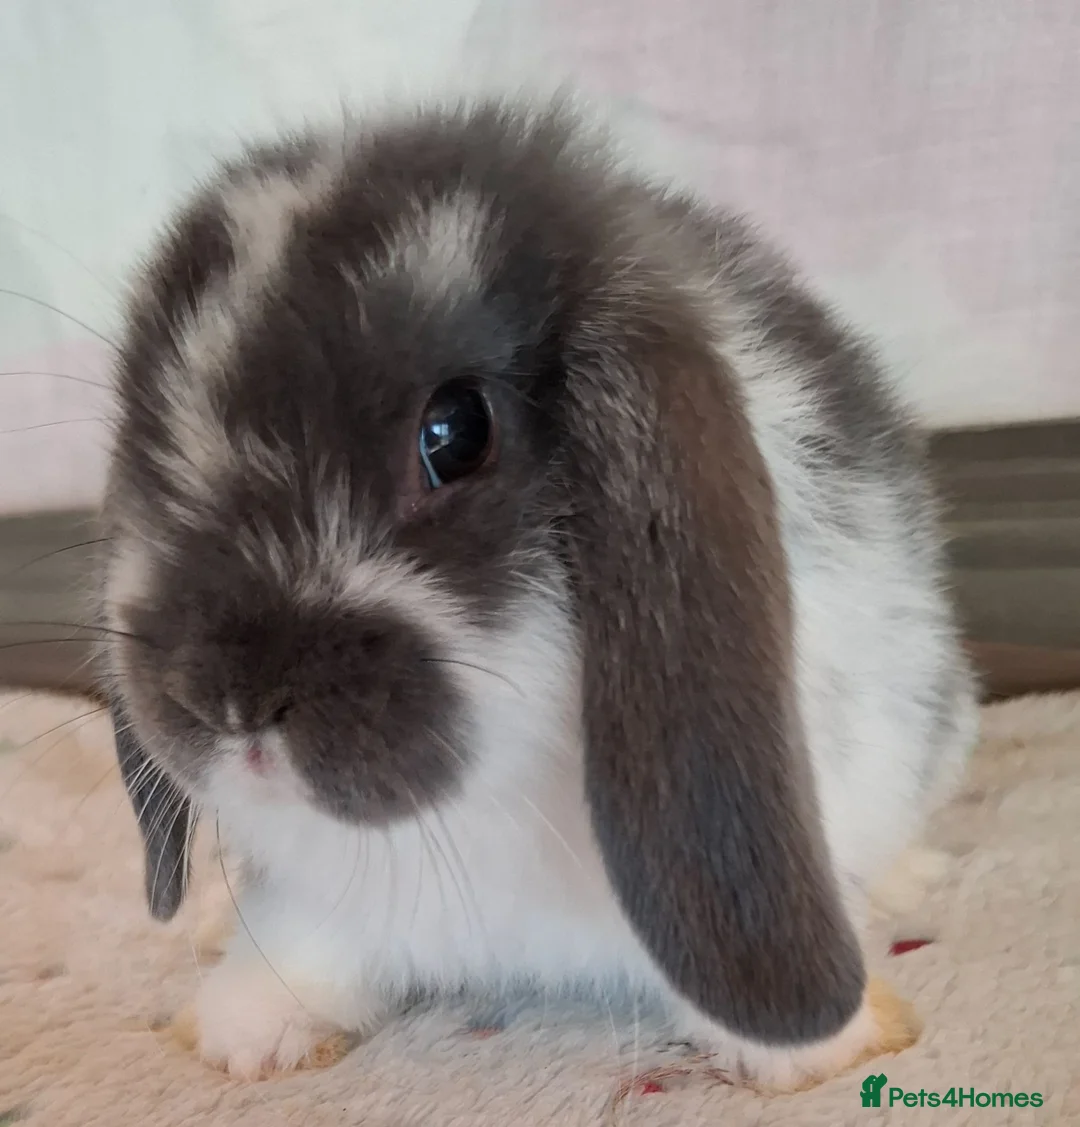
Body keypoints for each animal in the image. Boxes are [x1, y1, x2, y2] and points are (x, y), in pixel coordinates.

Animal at [100, 99, 978, 1093]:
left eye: (454, 431)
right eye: (148, 449)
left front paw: (827, 1044)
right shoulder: (320, 894)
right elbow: (303, 940)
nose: (229, 701)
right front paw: (244, 1028)